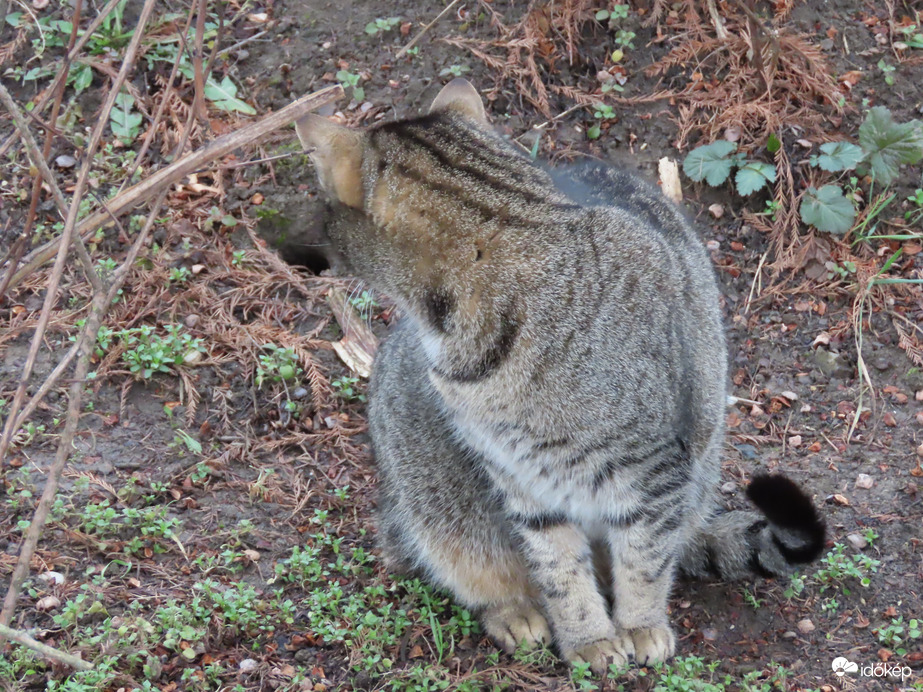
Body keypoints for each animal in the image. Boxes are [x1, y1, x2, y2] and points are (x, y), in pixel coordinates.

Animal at [296, 79, 824, 672]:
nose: (314, 247)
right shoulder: (520, 479)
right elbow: (558, 571)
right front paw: (589, 637)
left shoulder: (654, 466)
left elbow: (644, 557)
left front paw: (640, 625)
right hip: (430, 498)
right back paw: (515, 613)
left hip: (699, 470)